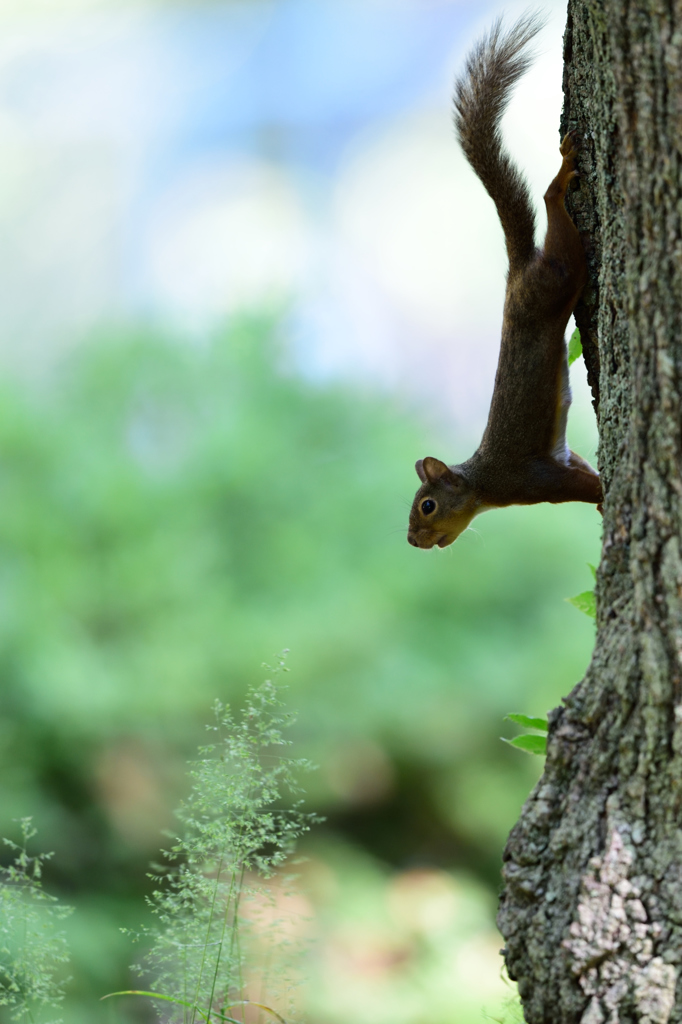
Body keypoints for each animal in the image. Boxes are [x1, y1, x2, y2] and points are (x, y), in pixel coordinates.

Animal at [405, 14, 598, 552]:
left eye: (427, 506)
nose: (412, 540)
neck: (485, 484)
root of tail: (515, 274)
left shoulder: (536, 481)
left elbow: (583, 486)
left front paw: (605, 498)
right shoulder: (561, 459)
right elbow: (580, 463)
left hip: (559, 275)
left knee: (553, 205)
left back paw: (563, 172)